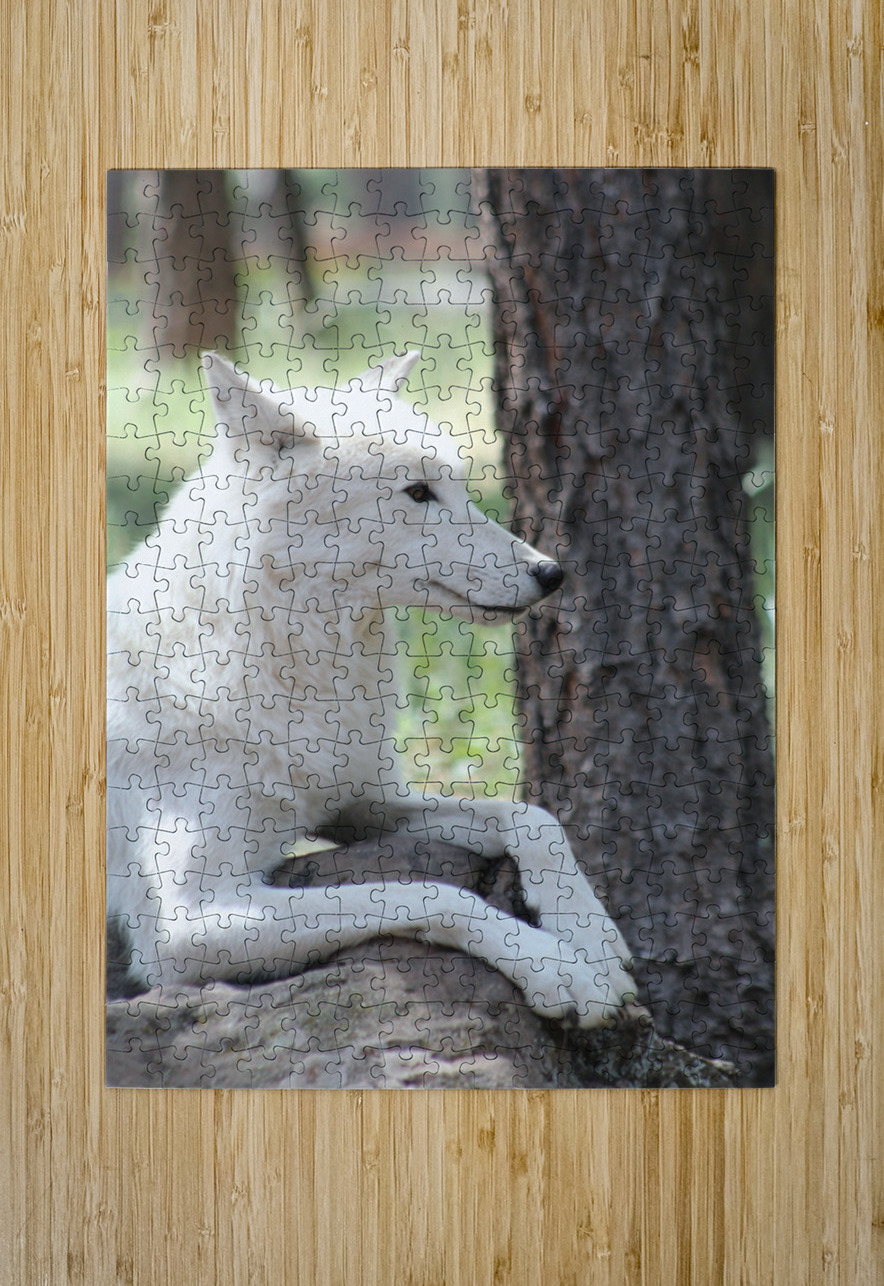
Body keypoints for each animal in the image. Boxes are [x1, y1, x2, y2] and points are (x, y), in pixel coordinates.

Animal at [107, 351, 636, 1028]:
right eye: (418, 494)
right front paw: (559, 968)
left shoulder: (363, 802)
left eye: (460, 488)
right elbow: (430, 894)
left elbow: (531, 816)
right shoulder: (184, 926)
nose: (552, 573)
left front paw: (592, 935)